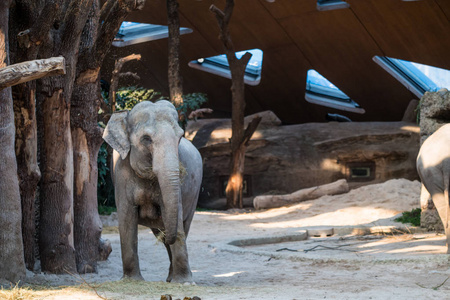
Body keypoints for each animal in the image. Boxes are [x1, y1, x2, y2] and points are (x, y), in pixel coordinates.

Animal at [103, 100, 203, 282]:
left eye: (180, 137)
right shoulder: (121, 174)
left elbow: (176, 216)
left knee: (183, 225)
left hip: (195, 194)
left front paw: (185, 283)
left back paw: (172, 278)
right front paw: (132, 281)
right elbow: (127, 218)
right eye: (146, 139)